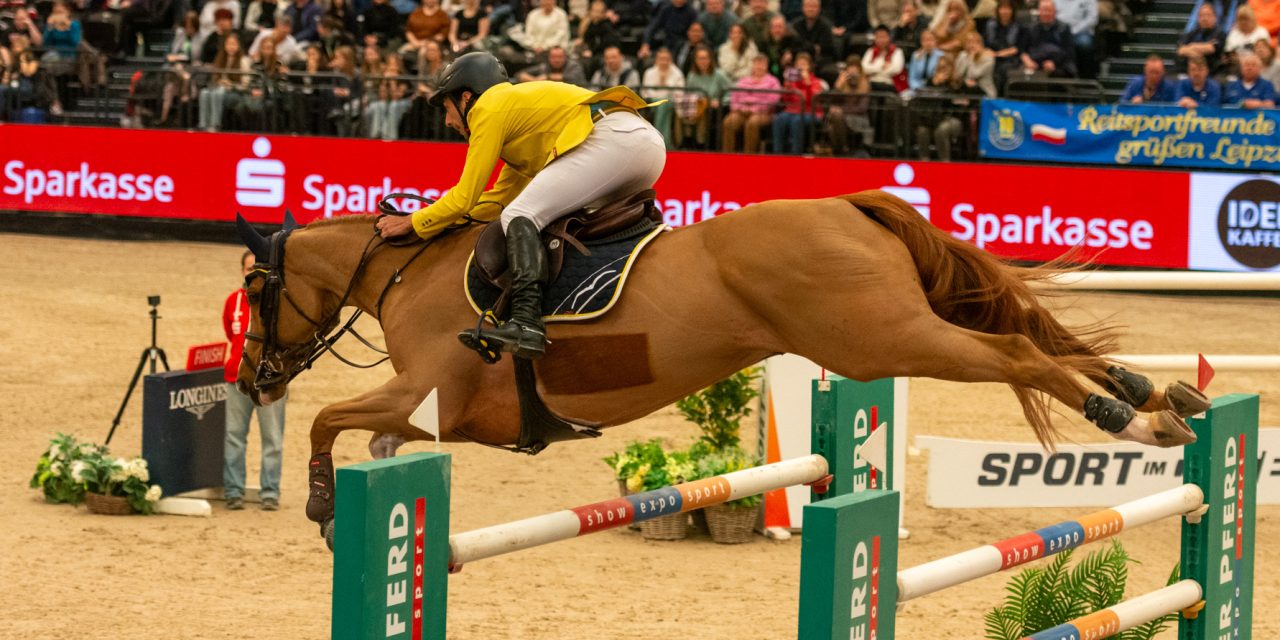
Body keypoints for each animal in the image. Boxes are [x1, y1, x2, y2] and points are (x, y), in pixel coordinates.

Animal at [235, 189, 1203, 535]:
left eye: (252, 291)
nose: (251, 380)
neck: (401, 272)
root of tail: (849, 205)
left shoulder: (429, 396)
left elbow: (329, 420)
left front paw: (322, 506)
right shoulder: (429, 412)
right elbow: (354, 429)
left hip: (880, 337)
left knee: (1012, 350)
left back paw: (1128, 417)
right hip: (888, 330)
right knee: (1038, 343)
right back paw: (1155, 398)